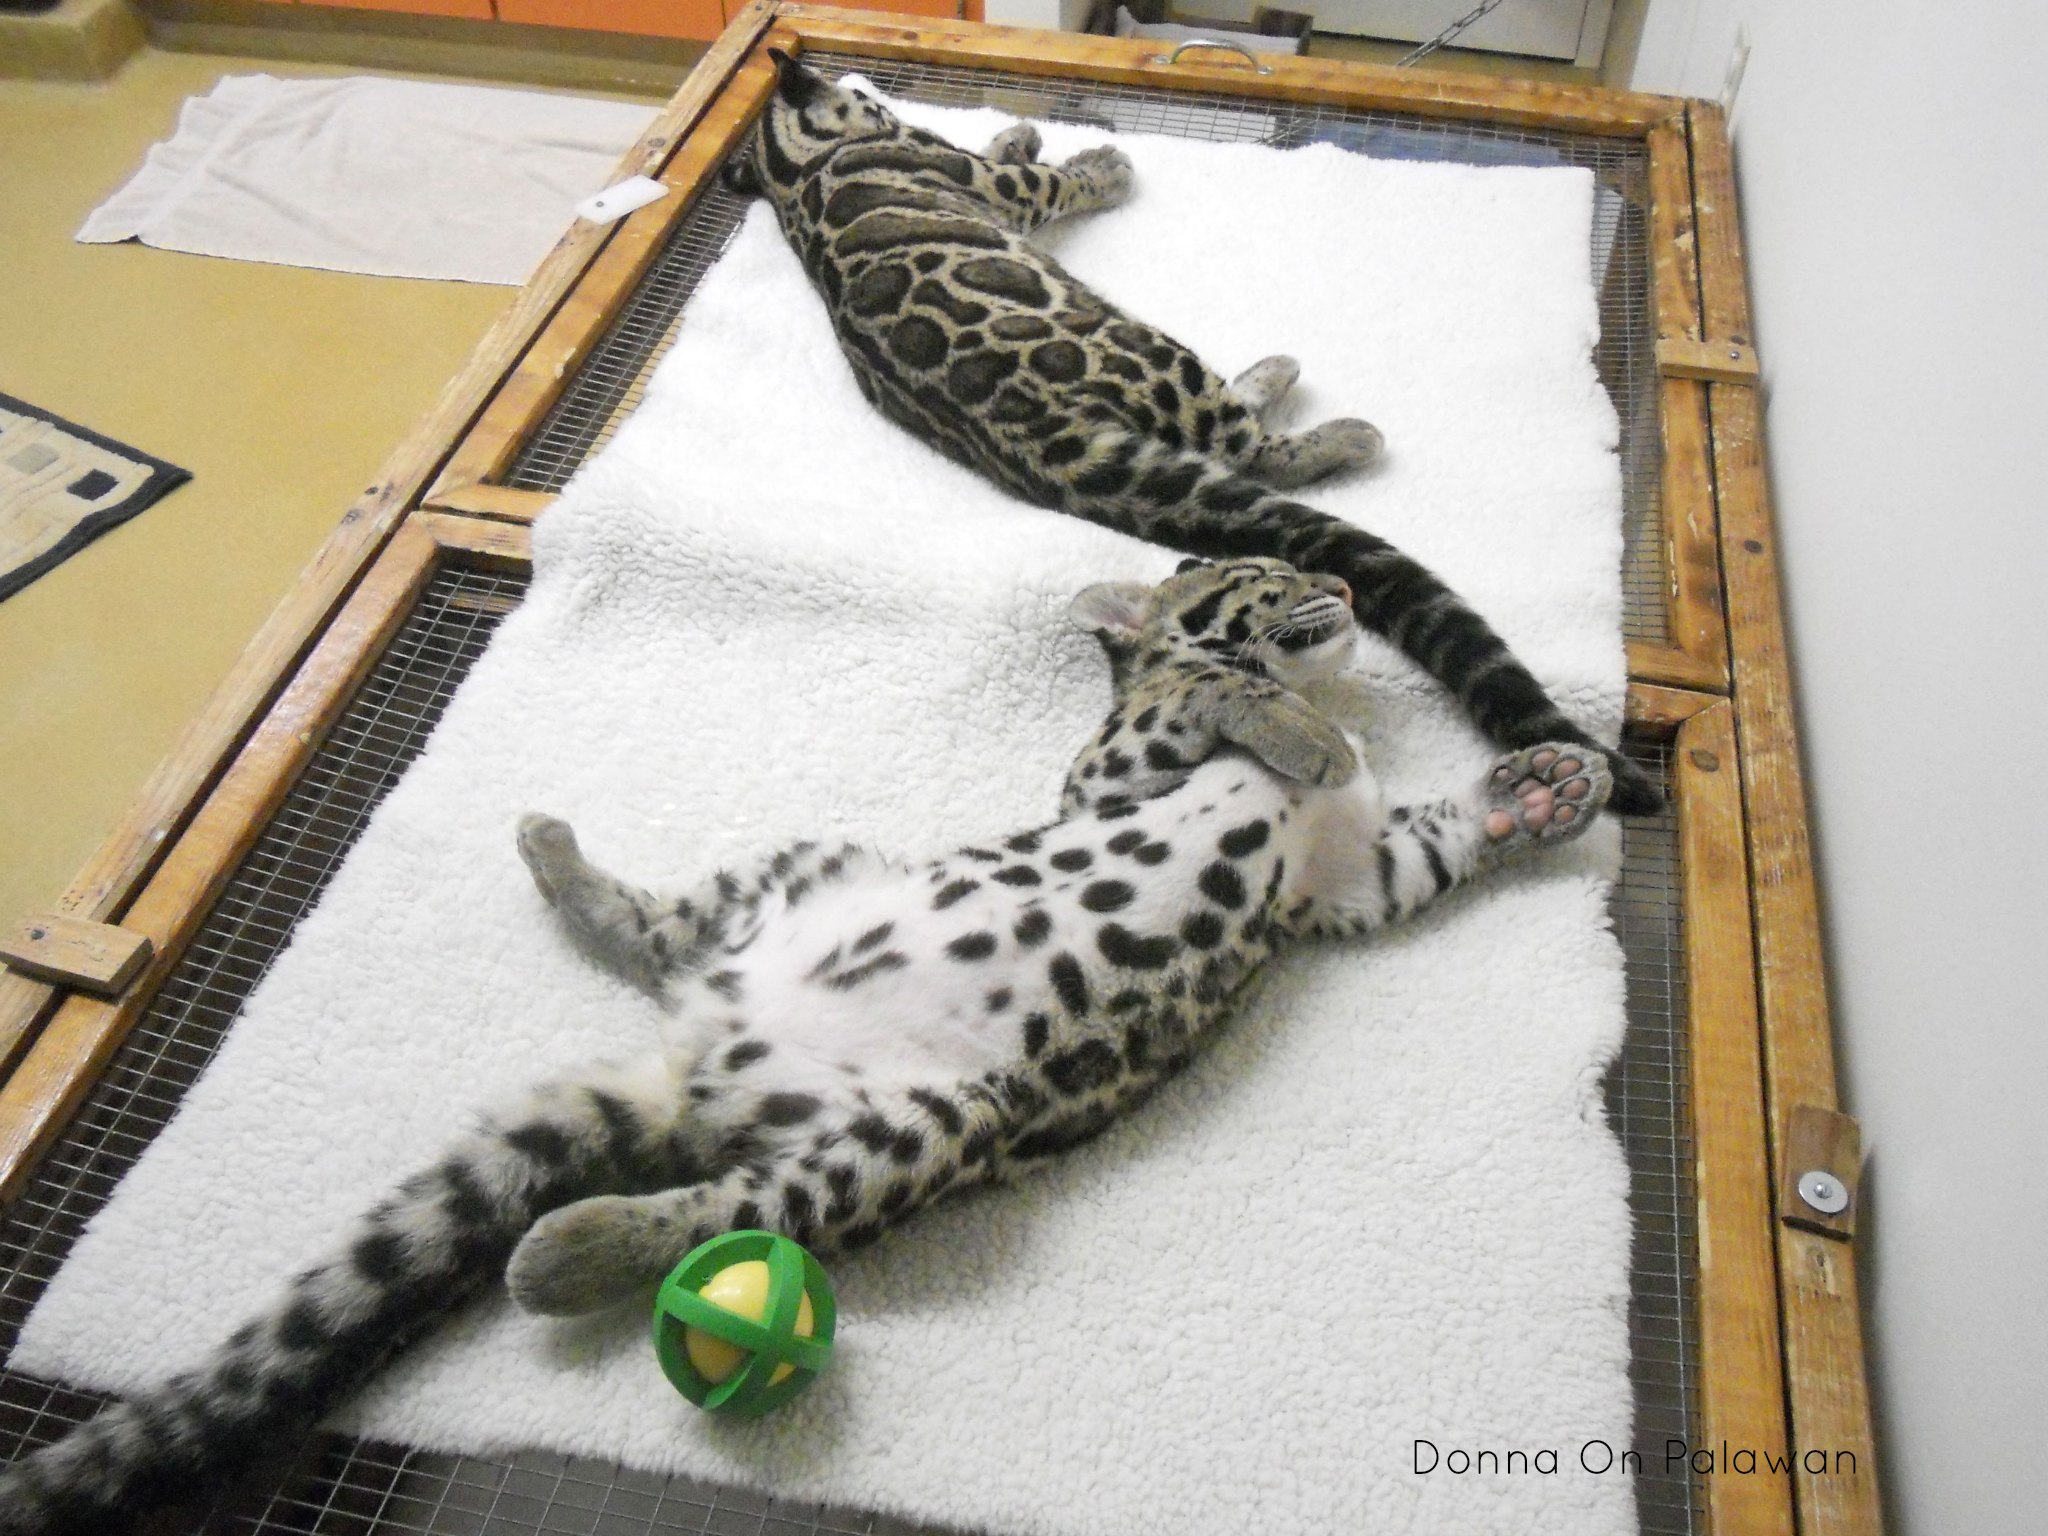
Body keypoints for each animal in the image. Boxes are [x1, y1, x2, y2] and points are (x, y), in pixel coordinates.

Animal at [0, 559, 1614, 1536]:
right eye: (1263, 578)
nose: (1340, 584)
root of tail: (699, 1068)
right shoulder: (1120, 773)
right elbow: (1212, 694)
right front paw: (1297, 725)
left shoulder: (1343, 884)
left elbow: (1422, 840)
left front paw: (1537, 792)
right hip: (847, 941)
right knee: (690, 1083)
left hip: (922, 1103)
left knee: (717, 1177)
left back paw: (564, 1188)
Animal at [721, 48, 1658, 817]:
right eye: (862, 93)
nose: (869, 91)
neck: (795, 174)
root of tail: (1047, 445)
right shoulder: (980, 184)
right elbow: (1046, 181)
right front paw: (1093, 161)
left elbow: (1013, 155)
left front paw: (1021, 126)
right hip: (1151, 350)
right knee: (1246, 446)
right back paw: (1321, 414)